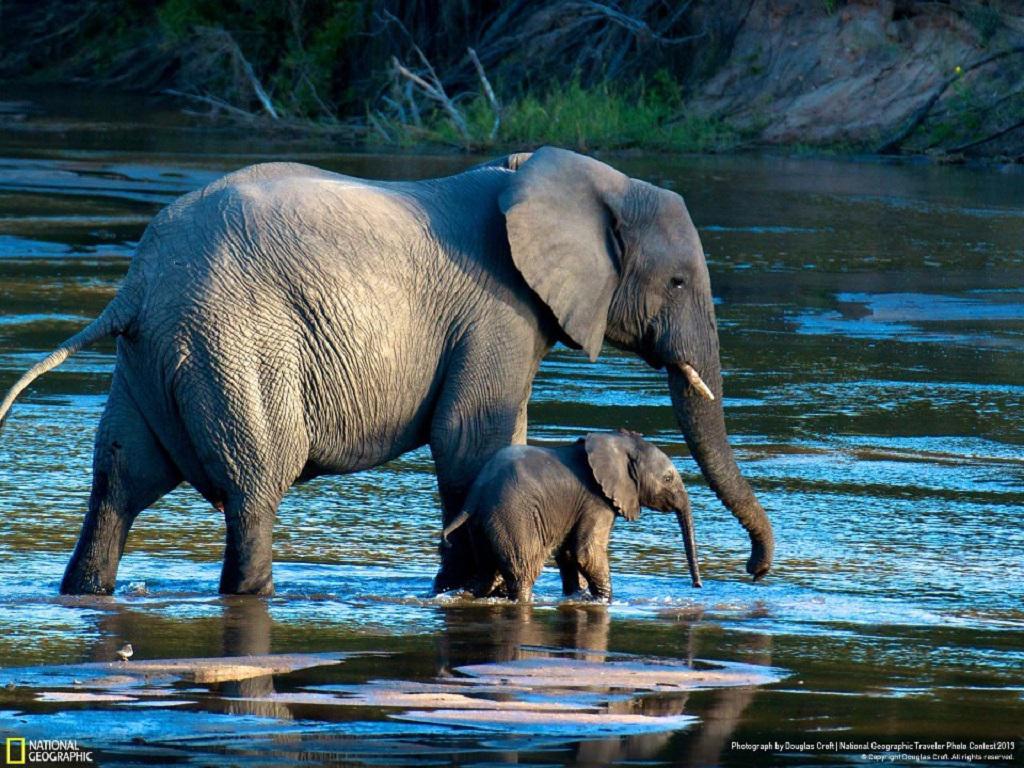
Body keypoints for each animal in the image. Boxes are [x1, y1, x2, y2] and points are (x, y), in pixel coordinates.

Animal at [440, 429, 702, 602]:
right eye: (668, 478)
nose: (697, 585)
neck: (616, 442)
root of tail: (475, 494)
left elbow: (568, 554)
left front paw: (577, 596)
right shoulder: (596, 501)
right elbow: (585, 552)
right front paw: (604, 601)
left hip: (482, 524)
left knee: (487, 573)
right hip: (512, 517)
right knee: (522, 572)